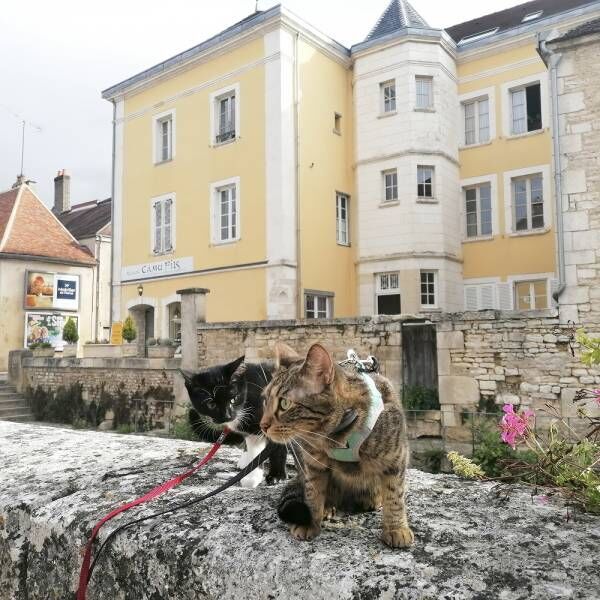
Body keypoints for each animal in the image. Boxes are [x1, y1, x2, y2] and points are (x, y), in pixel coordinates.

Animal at [180, 356, 288, 488]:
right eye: (211, 404)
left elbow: (278, 447)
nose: (227, 416)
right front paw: (251, 474)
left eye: (234, 399)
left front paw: (276, 476)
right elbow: (254, 447)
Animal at [260, 342, 414, 548]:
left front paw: (396, 528)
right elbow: (313, 493)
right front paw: (311, 521)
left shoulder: (396, 458)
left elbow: (394, 495)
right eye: (265, 401)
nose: (262, 425)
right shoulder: (312, 465)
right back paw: (328, 507)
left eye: (285, 404)